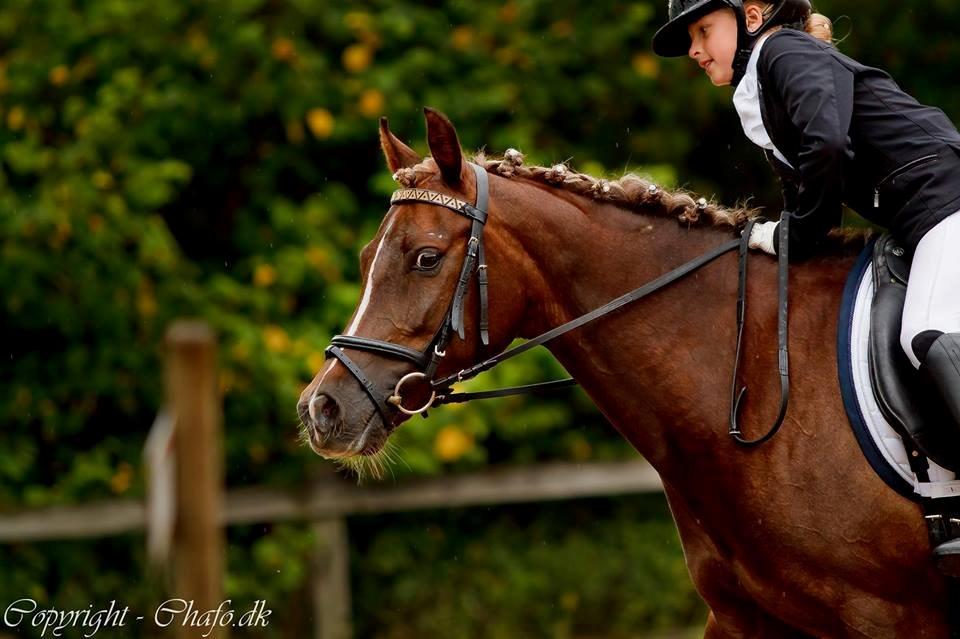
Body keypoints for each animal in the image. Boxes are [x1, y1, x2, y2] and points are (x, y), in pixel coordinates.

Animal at [298, 107, 952, 636]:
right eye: (366, 258)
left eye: (427, 259)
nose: (321, 409)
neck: (755, 371)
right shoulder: (745, 617)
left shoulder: (884, 616)